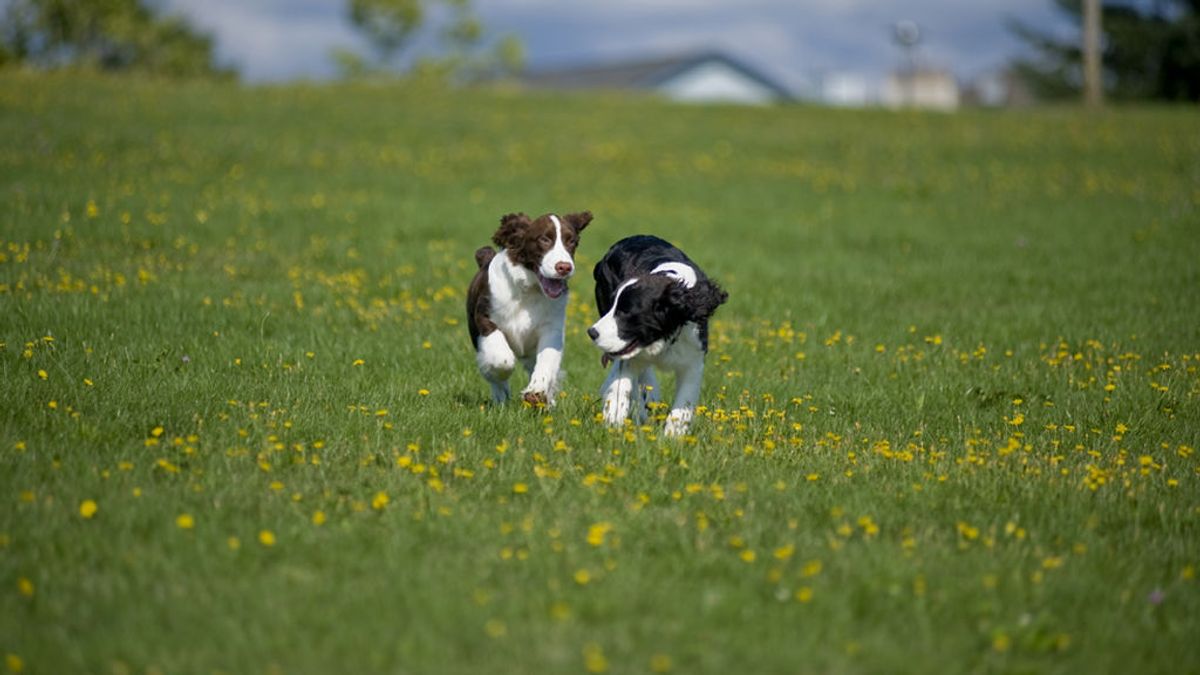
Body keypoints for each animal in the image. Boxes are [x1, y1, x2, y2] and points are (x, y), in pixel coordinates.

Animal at [465, 208, 592, 403]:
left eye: (572, 241)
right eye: (544, 239)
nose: (564, 267)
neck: (529, 291)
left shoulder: (552, 327)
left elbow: (547, 358)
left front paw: (536, 392)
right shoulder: (483, 316)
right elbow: (502, 359)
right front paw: (501, 382)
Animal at [585, 236, 724, 432]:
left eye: (625, 312)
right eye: (613, 306)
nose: (592, 332)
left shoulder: (694, 358)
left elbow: (685, 399)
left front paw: (673, 434)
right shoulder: (630, 357)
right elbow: (622, 384)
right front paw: (613, 420)